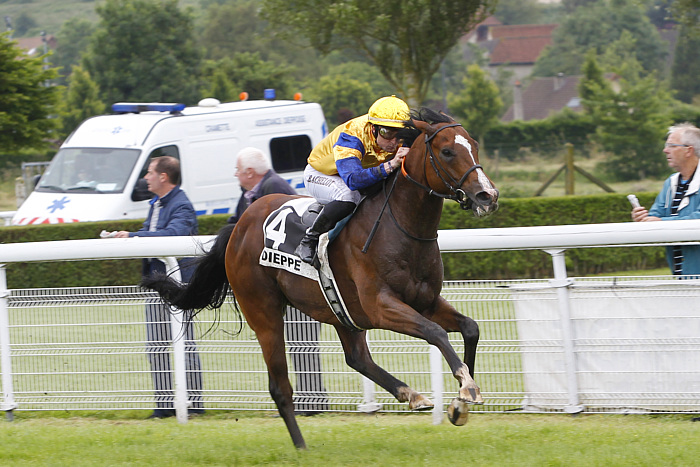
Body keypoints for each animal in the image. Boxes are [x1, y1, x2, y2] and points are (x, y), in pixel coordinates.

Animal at [144, 109, 498, 450]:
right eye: (447, 151)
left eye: (474, 146)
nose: (488, 195)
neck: (400, 227)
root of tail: (240, 224)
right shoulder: (380, 306)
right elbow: (436, 332)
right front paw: (467, 388)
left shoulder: (424, 301)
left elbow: (469, 328)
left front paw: (460, 404)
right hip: (264, 313)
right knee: (280, 387)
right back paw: (301, 447)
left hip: (339, 310)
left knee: (358, 358)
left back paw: (409, 394)